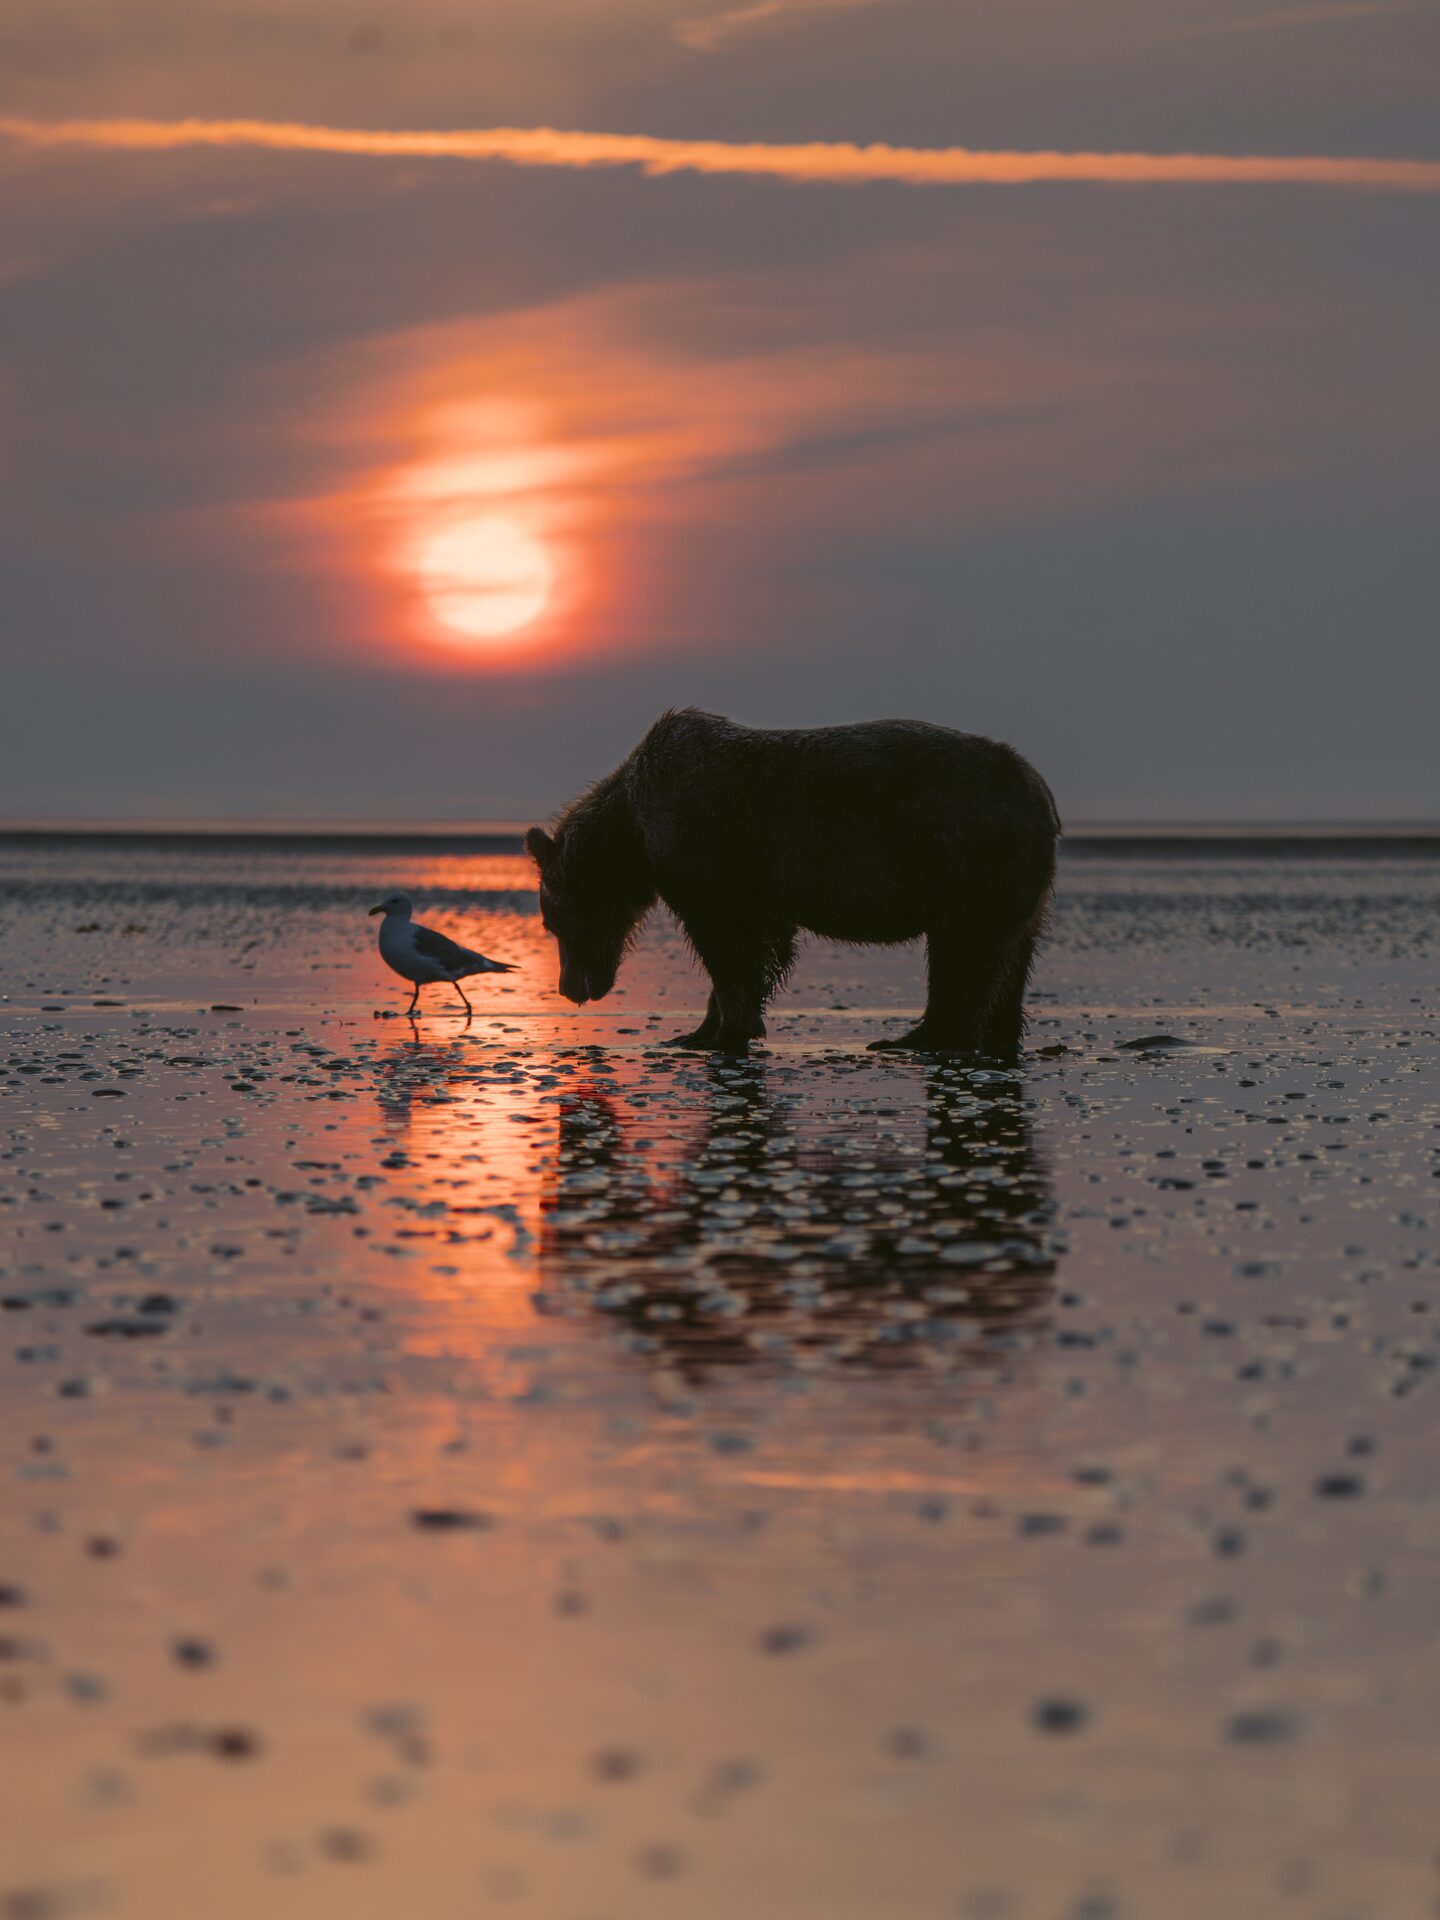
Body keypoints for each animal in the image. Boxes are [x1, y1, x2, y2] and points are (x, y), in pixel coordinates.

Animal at [525, 708, 1060, 1061]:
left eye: (555, 923)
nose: (570, 988)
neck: (635, 832)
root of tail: (1038, 790)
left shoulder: (706, 846)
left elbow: (727, 943)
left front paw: (721, 1032)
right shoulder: (758, 879)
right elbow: (760, 947)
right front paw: (702, 1029)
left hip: (967, 853)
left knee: (964, 949)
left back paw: (919, 1038)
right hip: (1018, 880)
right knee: (1010, 956)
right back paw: (992, 1036)